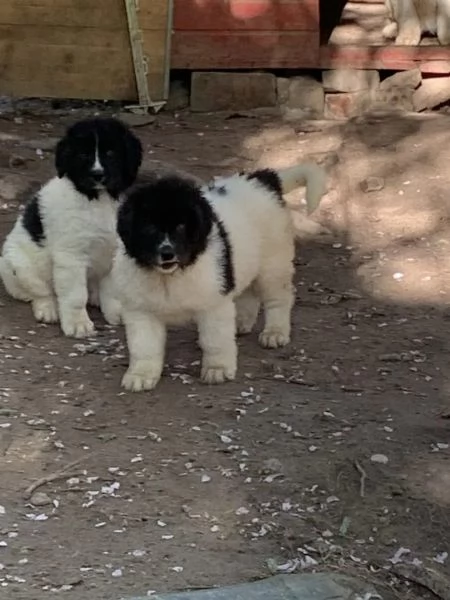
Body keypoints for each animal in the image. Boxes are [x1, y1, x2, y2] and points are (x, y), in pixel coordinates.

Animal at [0, 117, 142, 338]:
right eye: (83, 154)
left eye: (111, 153)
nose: (98, 175)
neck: (97, 200)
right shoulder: (71, 256)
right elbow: (75, 296)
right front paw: (78, 324)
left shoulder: (114, 251)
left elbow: (111, 289)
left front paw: (116, 312)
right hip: (19, 265)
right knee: (40, 292)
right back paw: (48, 309)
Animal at [110, 162, 326, 392]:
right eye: (149, 227)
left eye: (181, 226)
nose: (167, 253)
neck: (169, 276)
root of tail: (261, 179)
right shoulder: (140, 310)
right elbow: (143, 346)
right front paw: (141, 374)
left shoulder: (213, 304)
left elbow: (215, 340)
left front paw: (217, 369)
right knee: (247, 292)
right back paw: (240, 323)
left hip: (273, 263)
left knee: (278, 298)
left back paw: (275, 332)